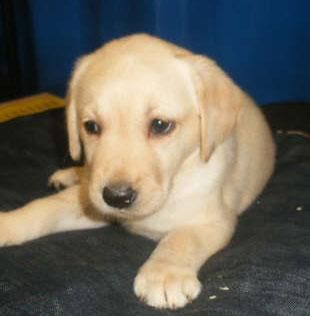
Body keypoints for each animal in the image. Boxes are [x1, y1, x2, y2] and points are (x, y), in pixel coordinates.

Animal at [1, 34, 274, 308]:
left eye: (161, 125)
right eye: (91, 126)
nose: (116, 197)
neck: (177, 179)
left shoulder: (214, 220)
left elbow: (181, 239)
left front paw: (164, 274)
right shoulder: (91, 201)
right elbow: (45, 208)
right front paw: (7, 223)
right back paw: (68, 174)